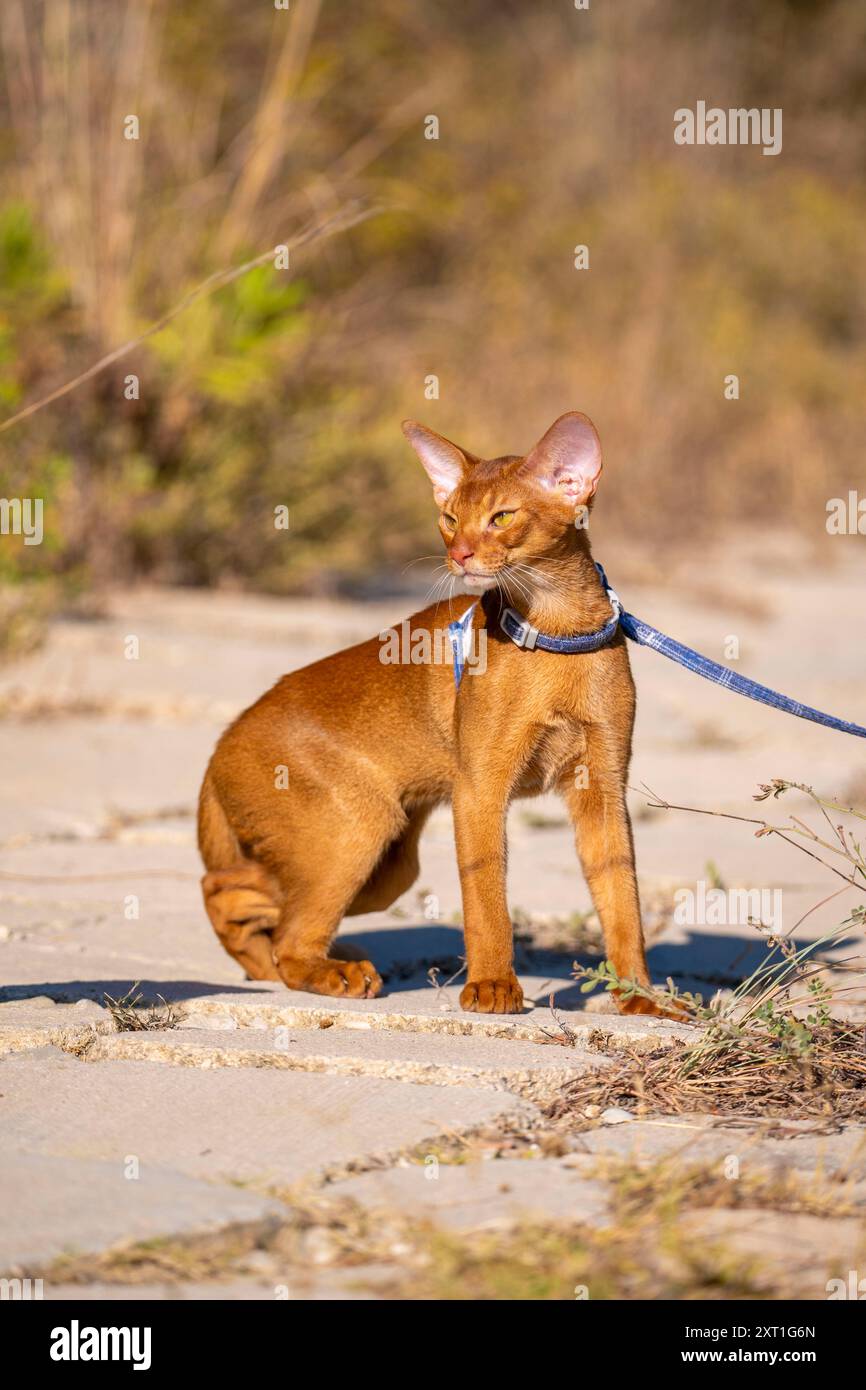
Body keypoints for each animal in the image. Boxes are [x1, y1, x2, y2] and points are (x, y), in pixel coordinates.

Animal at [198, 405, 664, 1017]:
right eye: (449, 518)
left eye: (501, 517)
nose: (459, 555)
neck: (557, 637)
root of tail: (220, 745)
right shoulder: (480, 788)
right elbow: (487, 900)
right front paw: (492, 987)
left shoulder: (603, 788)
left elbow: (623, 903)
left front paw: (642, 997)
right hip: (359, 831)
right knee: (257, 914)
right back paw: (332, 973)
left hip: (387, 866)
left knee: (260, 910)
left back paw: (285, 962)